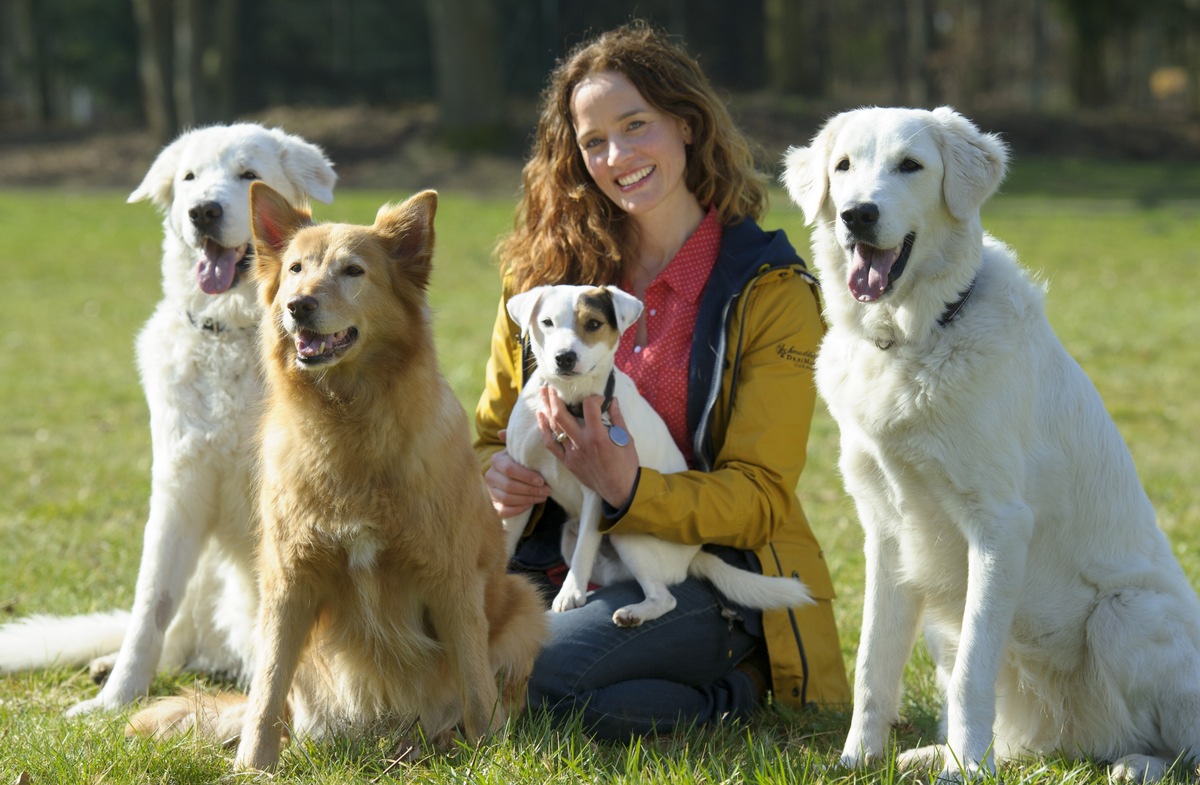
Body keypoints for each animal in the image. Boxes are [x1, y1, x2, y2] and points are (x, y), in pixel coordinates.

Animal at [0, 123, 336, 720]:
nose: (203, 211)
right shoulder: (178, 493)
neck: (230, 334)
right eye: (190, 178)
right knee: (177, 635)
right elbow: (149, 608)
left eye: (248, 175)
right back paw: (110, 666)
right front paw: (116, 699)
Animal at [125, 186, 544, 772]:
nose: (298, 305)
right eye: (296, 269)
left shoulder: (452, 579)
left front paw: (488, 761)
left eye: (352, 271)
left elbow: (476, 687)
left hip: (527, 605)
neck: (348, 423)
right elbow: (267, 689)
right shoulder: (289, 581)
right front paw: (253, 766)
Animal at [501, 285, 811, 628]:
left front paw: (570, 593)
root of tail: (694, 555)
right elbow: (506, 540)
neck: (570, 402)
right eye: (547, 322)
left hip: (627, 532)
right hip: (572, 536)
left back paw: (633, 613)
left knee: (665, 597)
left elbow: (584, 550)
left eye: (593, 324)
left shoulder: (598, 490)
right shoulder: (523, 481)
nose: (564, 357)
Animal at [782, 106, 1200, 785]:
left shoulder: (998, 526)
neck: (916, 337)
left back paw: (1135, 763)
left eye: (910, 166)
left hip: (1127, 614)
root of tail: (1075, 745)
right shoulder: (885, 532)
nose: (858, 215)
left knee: (1179, 745)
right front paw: (857, 758)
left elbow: (972, 671)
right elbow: (873, 663)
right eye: (843, 167)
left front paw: (965, 771)